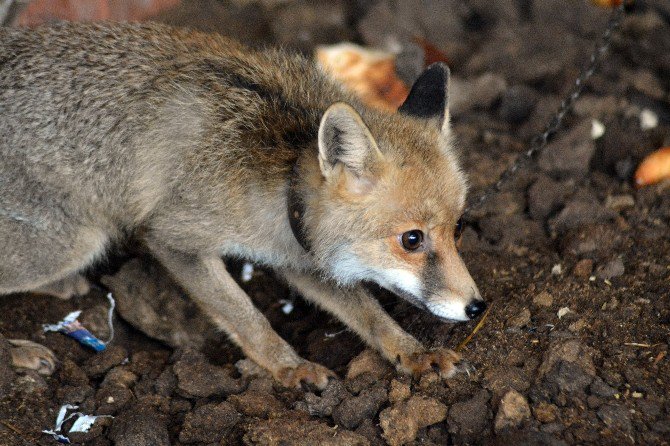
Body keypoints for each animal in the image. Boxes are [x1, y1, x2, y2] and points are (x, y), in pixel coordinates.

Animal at [0, 22, 486, 388]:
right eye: (411, 240)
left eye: (458, 228)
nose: (477, 308)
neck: (282, 171)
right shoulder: (175, 240)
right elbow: (248, 318)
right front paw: (288, 367)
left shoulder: (297, 255)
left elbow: (370, 313)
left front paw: (412, 352)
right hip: (73, 242)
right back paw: (19, 351)